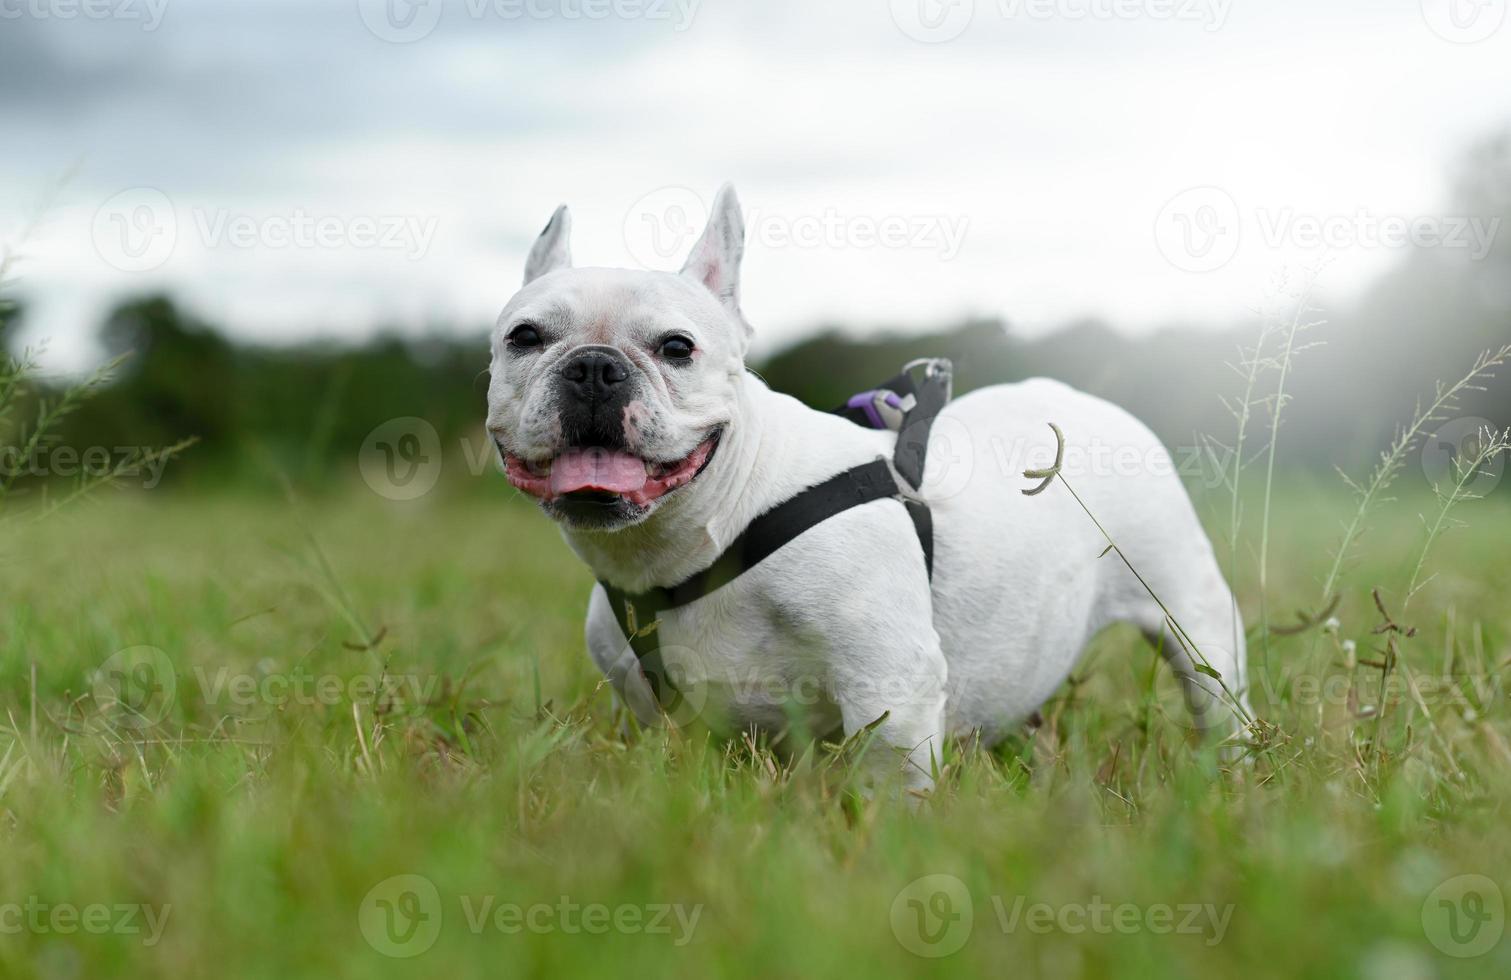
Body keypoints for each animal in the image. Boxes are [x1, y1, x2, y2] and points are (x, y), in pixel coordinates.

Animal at [486, 185, 1251, 797]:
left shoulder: (891, 686)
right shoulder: (650, 706)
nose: (593, 366)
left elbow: (890, 785)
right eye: (523, 337)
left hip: (1193, 615)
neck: (706, 535)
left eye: (677, 347)